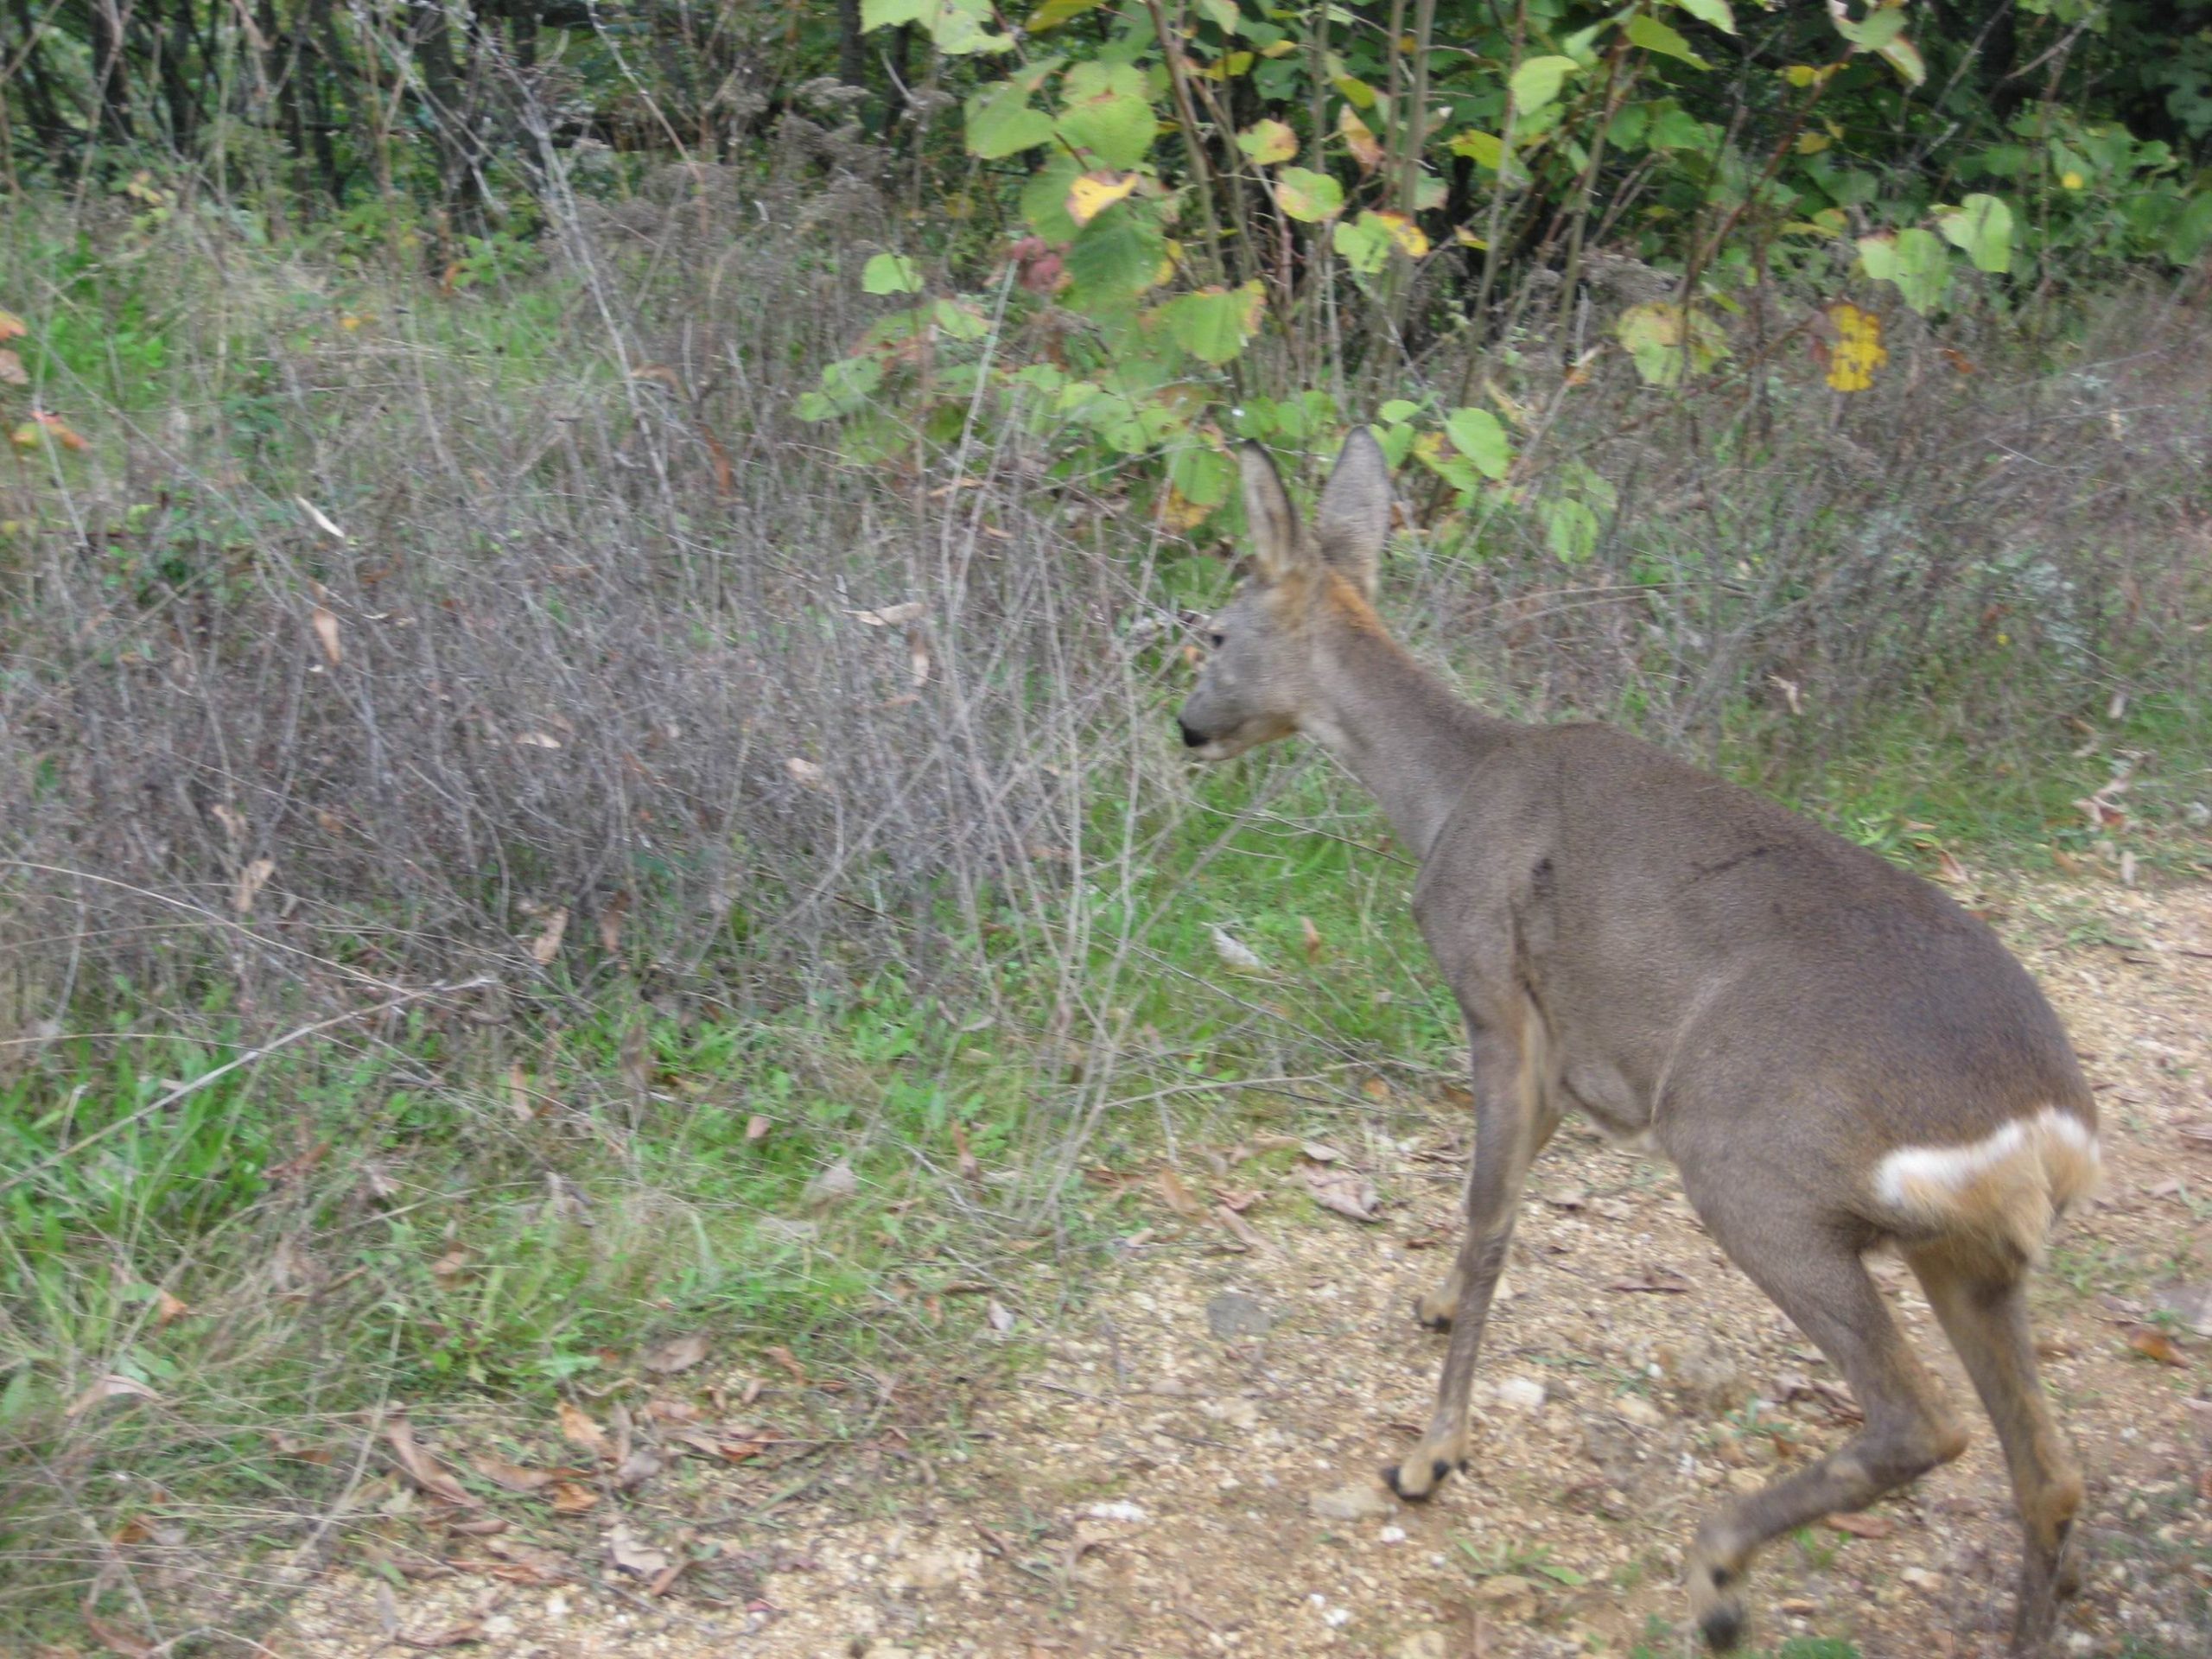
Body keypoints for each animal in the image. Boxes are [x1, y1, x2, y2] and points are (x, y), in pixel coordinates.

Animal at [1176, 431, 2088, 1659]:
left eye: (1216, 634)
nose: (1186, 725)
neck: (1450, 793)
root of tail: (2042, 1126)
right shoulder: (1569, 1060)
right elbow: (1499, 1204)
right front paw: (1432, 1311)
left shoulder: (1493, 995)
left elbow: (1490, 1219)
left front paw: (1429, 1454)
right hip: (1968, 1258)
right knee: (2047, 1472)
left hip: (1751, 1165)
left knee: (1924, 1422)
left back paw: (1717, 1575)